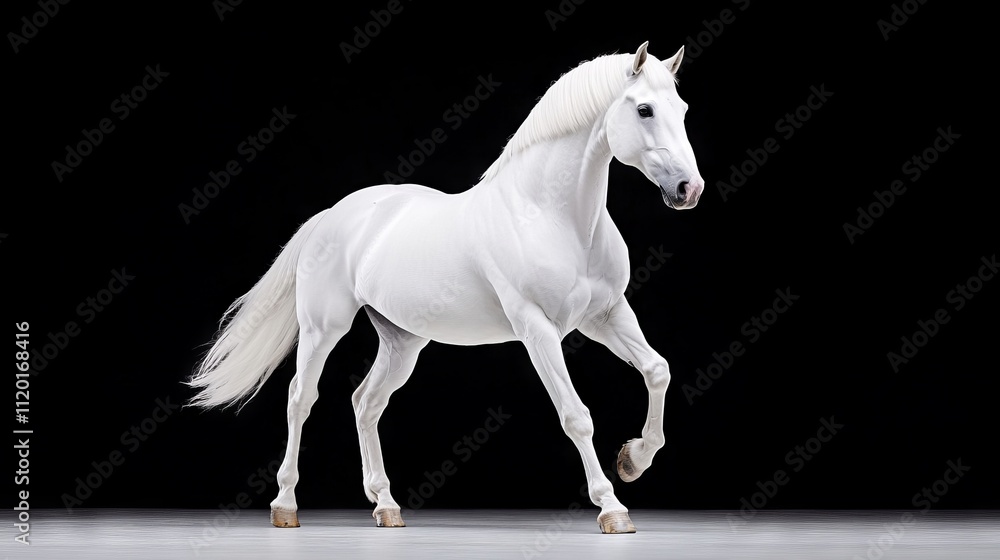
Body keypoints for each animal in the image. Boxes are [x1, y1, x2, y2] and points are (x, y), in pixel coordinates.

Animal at [187, 41, 705, 534]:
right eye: (644, 109)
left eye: (682, 108)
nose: (689, 189)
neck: (549, 216)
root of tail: (331, 215)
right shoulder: (538, 330)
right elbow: (576, 416)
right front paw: (612, 509)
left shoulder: (605, 315)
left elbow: (657, 370)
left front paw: (633, 460)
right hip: (322, 329)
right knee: (301, 399)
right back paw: (286, 505)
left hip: (402, 342)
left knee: (366, 403)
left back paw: (386, 506)